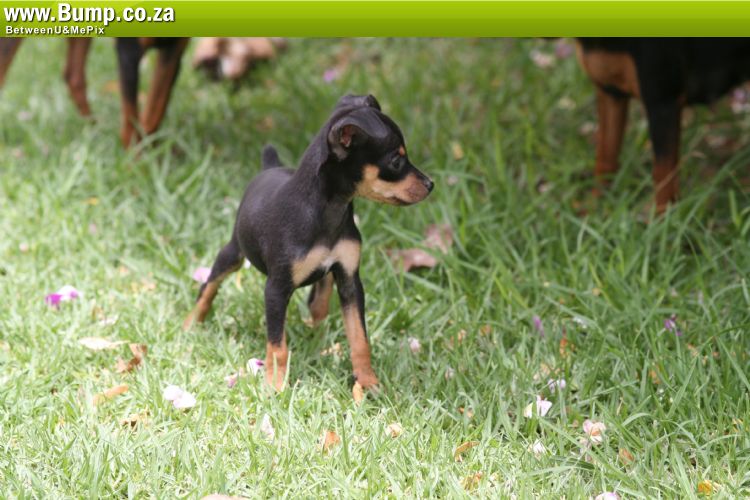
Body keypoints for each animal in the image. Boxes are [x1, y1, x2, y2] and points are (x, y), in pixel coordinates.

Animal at [0, 37, 189, 147]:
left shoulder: (174, 51)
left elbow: (152, 119)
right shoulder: (129, 52)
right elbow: (130, 130)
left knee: (73, 76)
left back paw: (94, 128)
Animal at [182, 94, 434, 392]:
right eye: (396, 162)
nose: (430, 184)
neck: (328, 210)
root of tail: (270, 167)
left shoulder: (350, 280)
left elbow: (359, 338)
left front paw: (367, 382)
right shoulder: (276, 289)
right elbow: (277, 346)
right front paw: (275, 386)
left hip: (327, 277)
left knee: (319, 304)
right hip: (234, 252)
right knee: (209, 285)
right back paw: (191, 323)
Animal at [575, 38, 750, 213]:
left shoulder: (662, 103)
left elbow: (663, 176)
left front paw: (661, 217)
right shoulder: (610, 92)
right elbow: (605, 157)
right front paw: (594, 207)